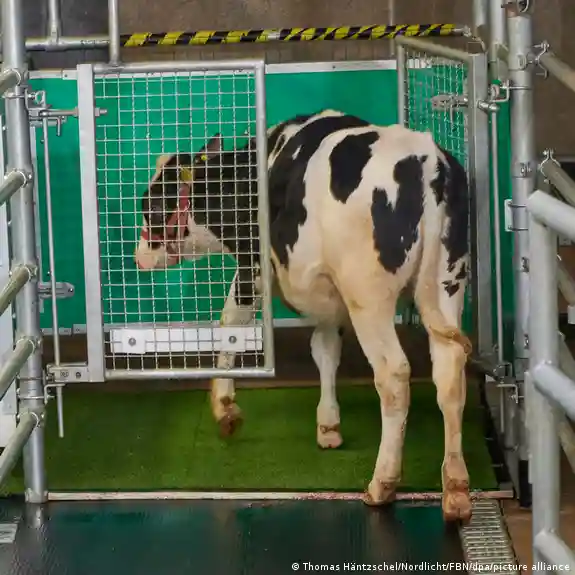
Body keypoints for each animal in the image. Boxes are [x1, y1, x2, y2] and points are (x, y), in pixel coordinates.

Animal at [134, 109, 473, 523]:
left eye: (151, 205)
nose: (138, 255)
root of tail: (427, 161)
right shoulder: (327, 294)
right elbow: (325, 349)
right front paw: (328, 425)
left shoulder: (253, 267)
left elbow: (231, 322)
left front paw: (224, 407)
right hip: (447, 282)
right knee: (450, 372)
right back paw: (455, 487)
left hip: (368, 295)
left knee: (393, 375)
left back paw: (383, 483)